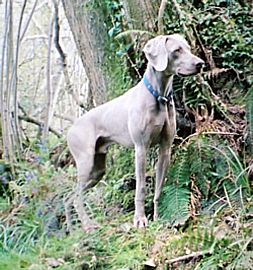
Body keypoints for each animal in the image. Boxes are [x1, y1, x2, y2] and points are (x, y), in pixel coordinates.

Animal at [65, 34, 204, 232]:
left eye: (189, 48)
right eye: (177, 50)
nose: (200, 64)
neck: (158, 96)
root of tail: (70, 130)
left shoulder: (165, 149)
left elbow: (158, 188)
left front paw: (158, 218)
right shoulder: (141, 148)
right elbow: (141, 188)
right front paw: (140, 220)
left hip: (97, 170)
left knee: (68, 198)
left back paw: (72, 230)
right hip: (86, 163)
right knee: (76, 198)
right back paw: (88, 225)